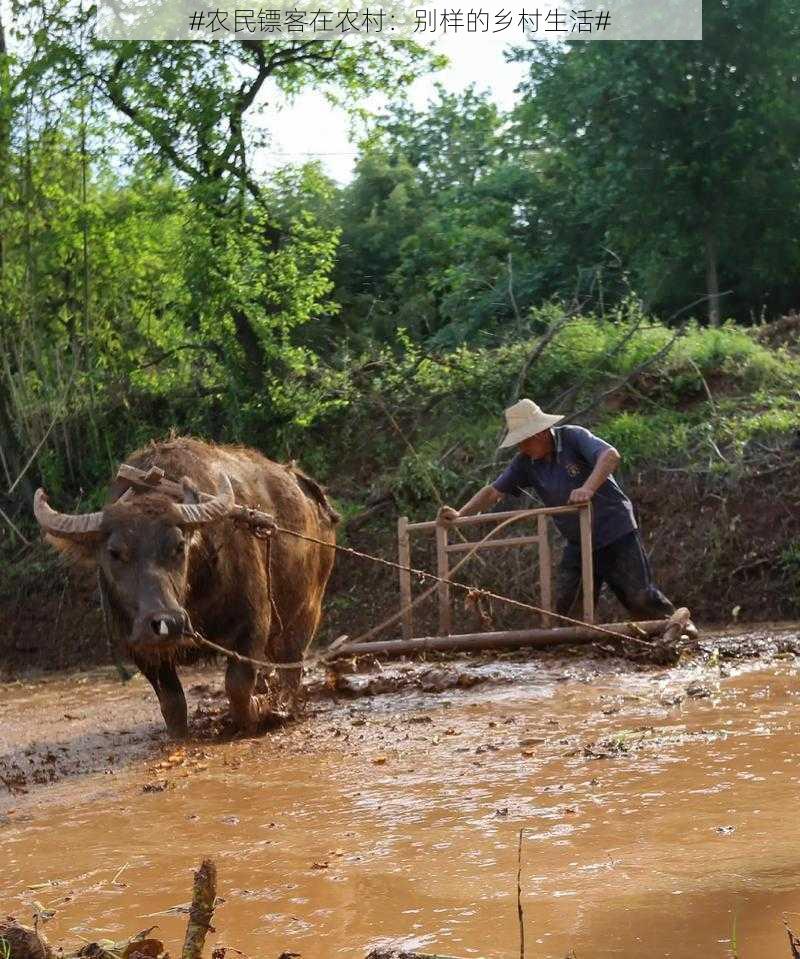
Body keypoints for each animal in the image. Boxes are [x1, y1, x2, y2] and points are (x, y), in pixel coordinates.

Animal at [32, 438, 340, 740]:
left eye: (179, 546)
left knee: (292, 664)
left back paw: (284, 705)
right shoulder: (138, 646)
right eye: (114, 553)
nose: (166, 623)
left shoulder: (253, 624)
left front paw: (261, 711)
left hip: (306, 611)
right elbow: (172, 702)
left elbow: (238, 685)